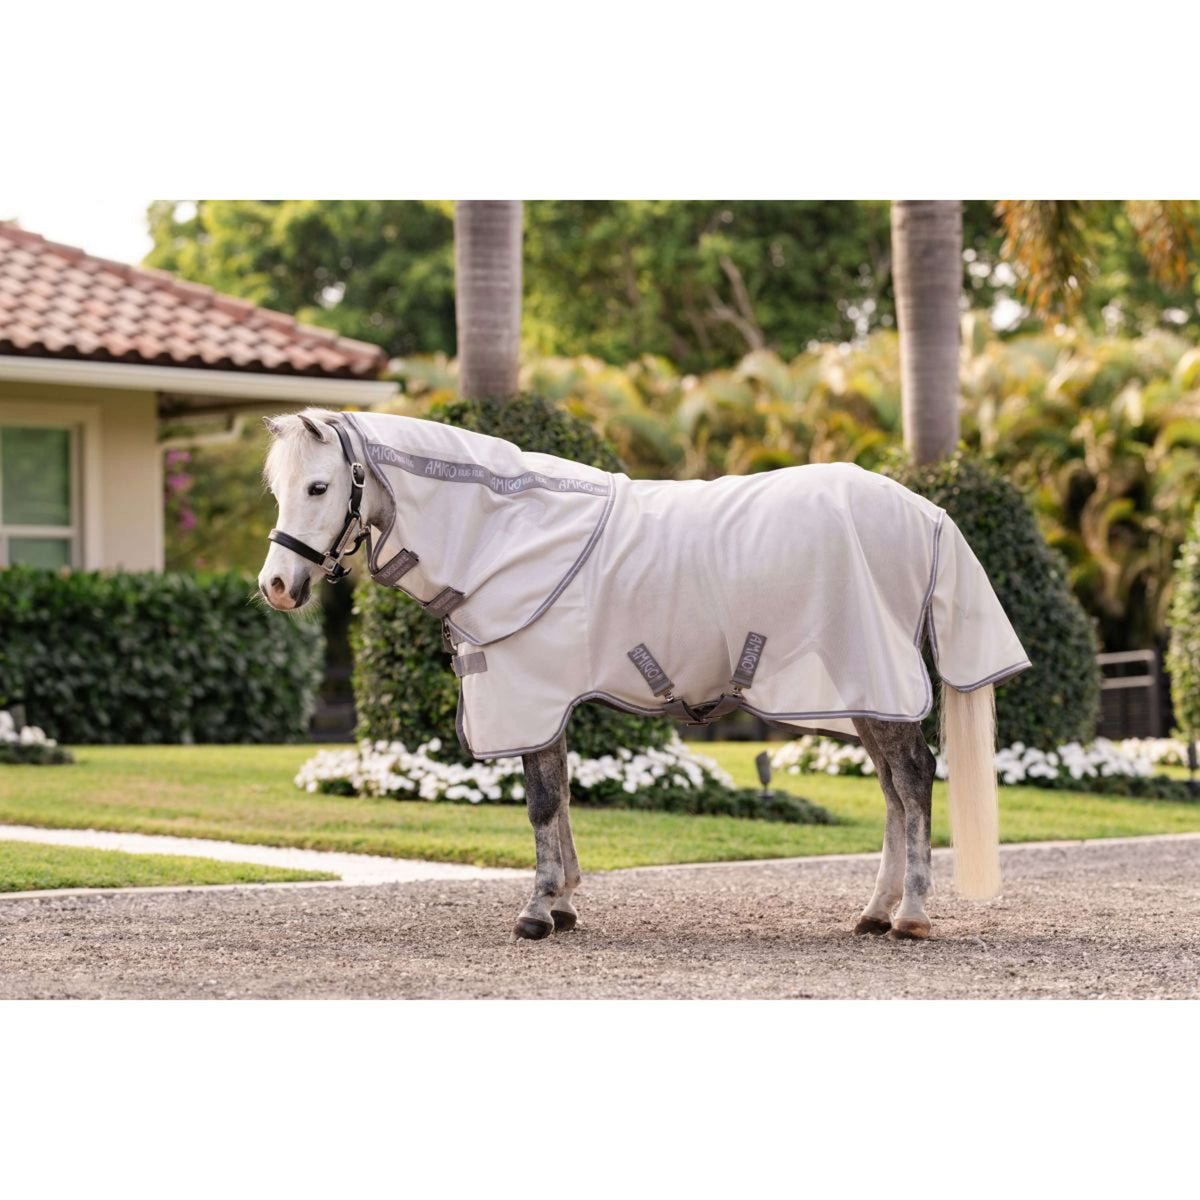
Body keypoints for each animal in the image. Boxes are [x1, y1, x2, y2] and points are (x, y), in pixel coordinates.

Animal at [258, 408, 1029, 941]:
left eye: (319, 486)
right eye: (277, 488)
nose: (277, 586)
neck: (504, 530)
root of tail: (924, 512)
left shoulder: (531, 694)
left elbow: (541, 803)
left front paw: (538, 911)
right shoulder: (549, 702)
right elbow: (562, 796)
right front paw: (565, 902)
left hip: (875, 682)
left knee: (914, 780)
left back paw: (912, 916)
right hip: (865, 695)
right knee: (896, 791)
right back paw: (875, 911)